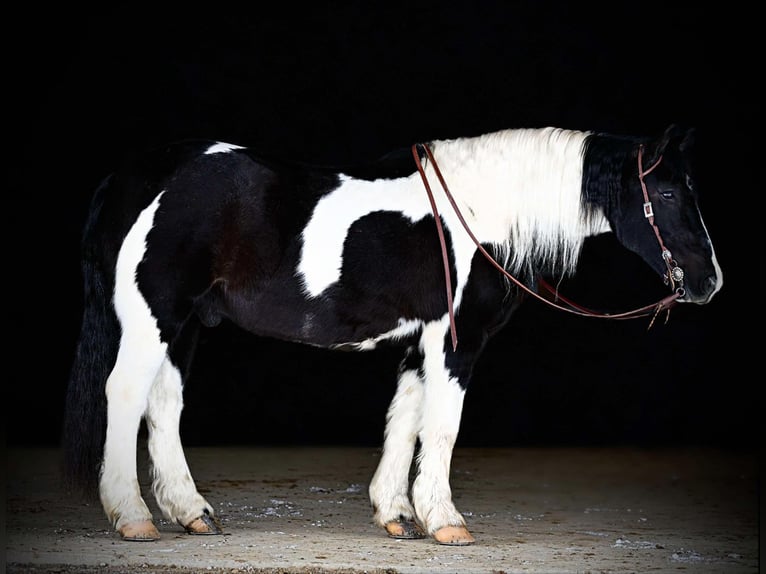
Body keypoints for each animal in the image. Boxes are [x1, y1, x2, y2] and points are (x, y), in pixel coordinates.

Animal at [64, 124, 728, 548]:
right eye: (668, 192)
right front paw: (445, 521)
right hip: (152, 315)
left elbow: (405, 421)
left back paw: (192, 513)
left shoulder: (420, 342)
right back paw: (132, 517)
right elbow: (442, 426)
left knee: (163, 405)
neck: (479, 214)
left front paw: (397, 514)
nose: (709, 282)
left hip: (181, 325)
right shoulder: (456, 343)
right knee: (125, 394)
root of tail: (133, 175)